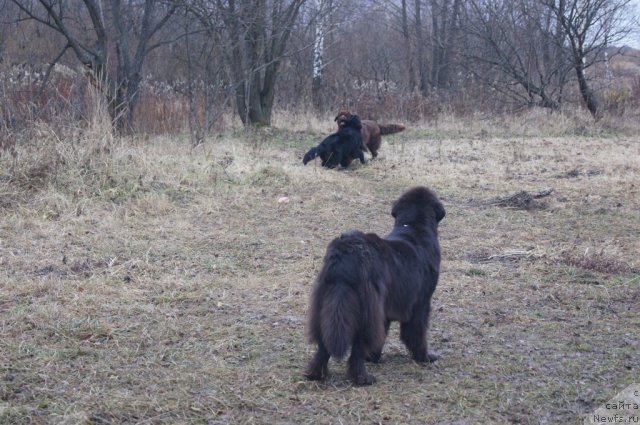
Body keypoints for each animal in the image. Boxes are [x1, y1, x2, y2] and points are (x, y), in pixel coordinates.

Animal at [304, 186, 444, 384]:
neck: (413, 228)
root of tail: (346, 251)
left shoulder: (385, 310)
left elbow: (383, 333)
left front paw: (374, 357)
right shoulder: (420, 303)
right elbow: (417, 332)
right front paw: (424, 357)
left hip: (327, 304)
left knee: (324, 343)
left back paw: (315, 374)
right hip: (366, 310)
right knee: (357, 346)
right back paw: (362, 378)